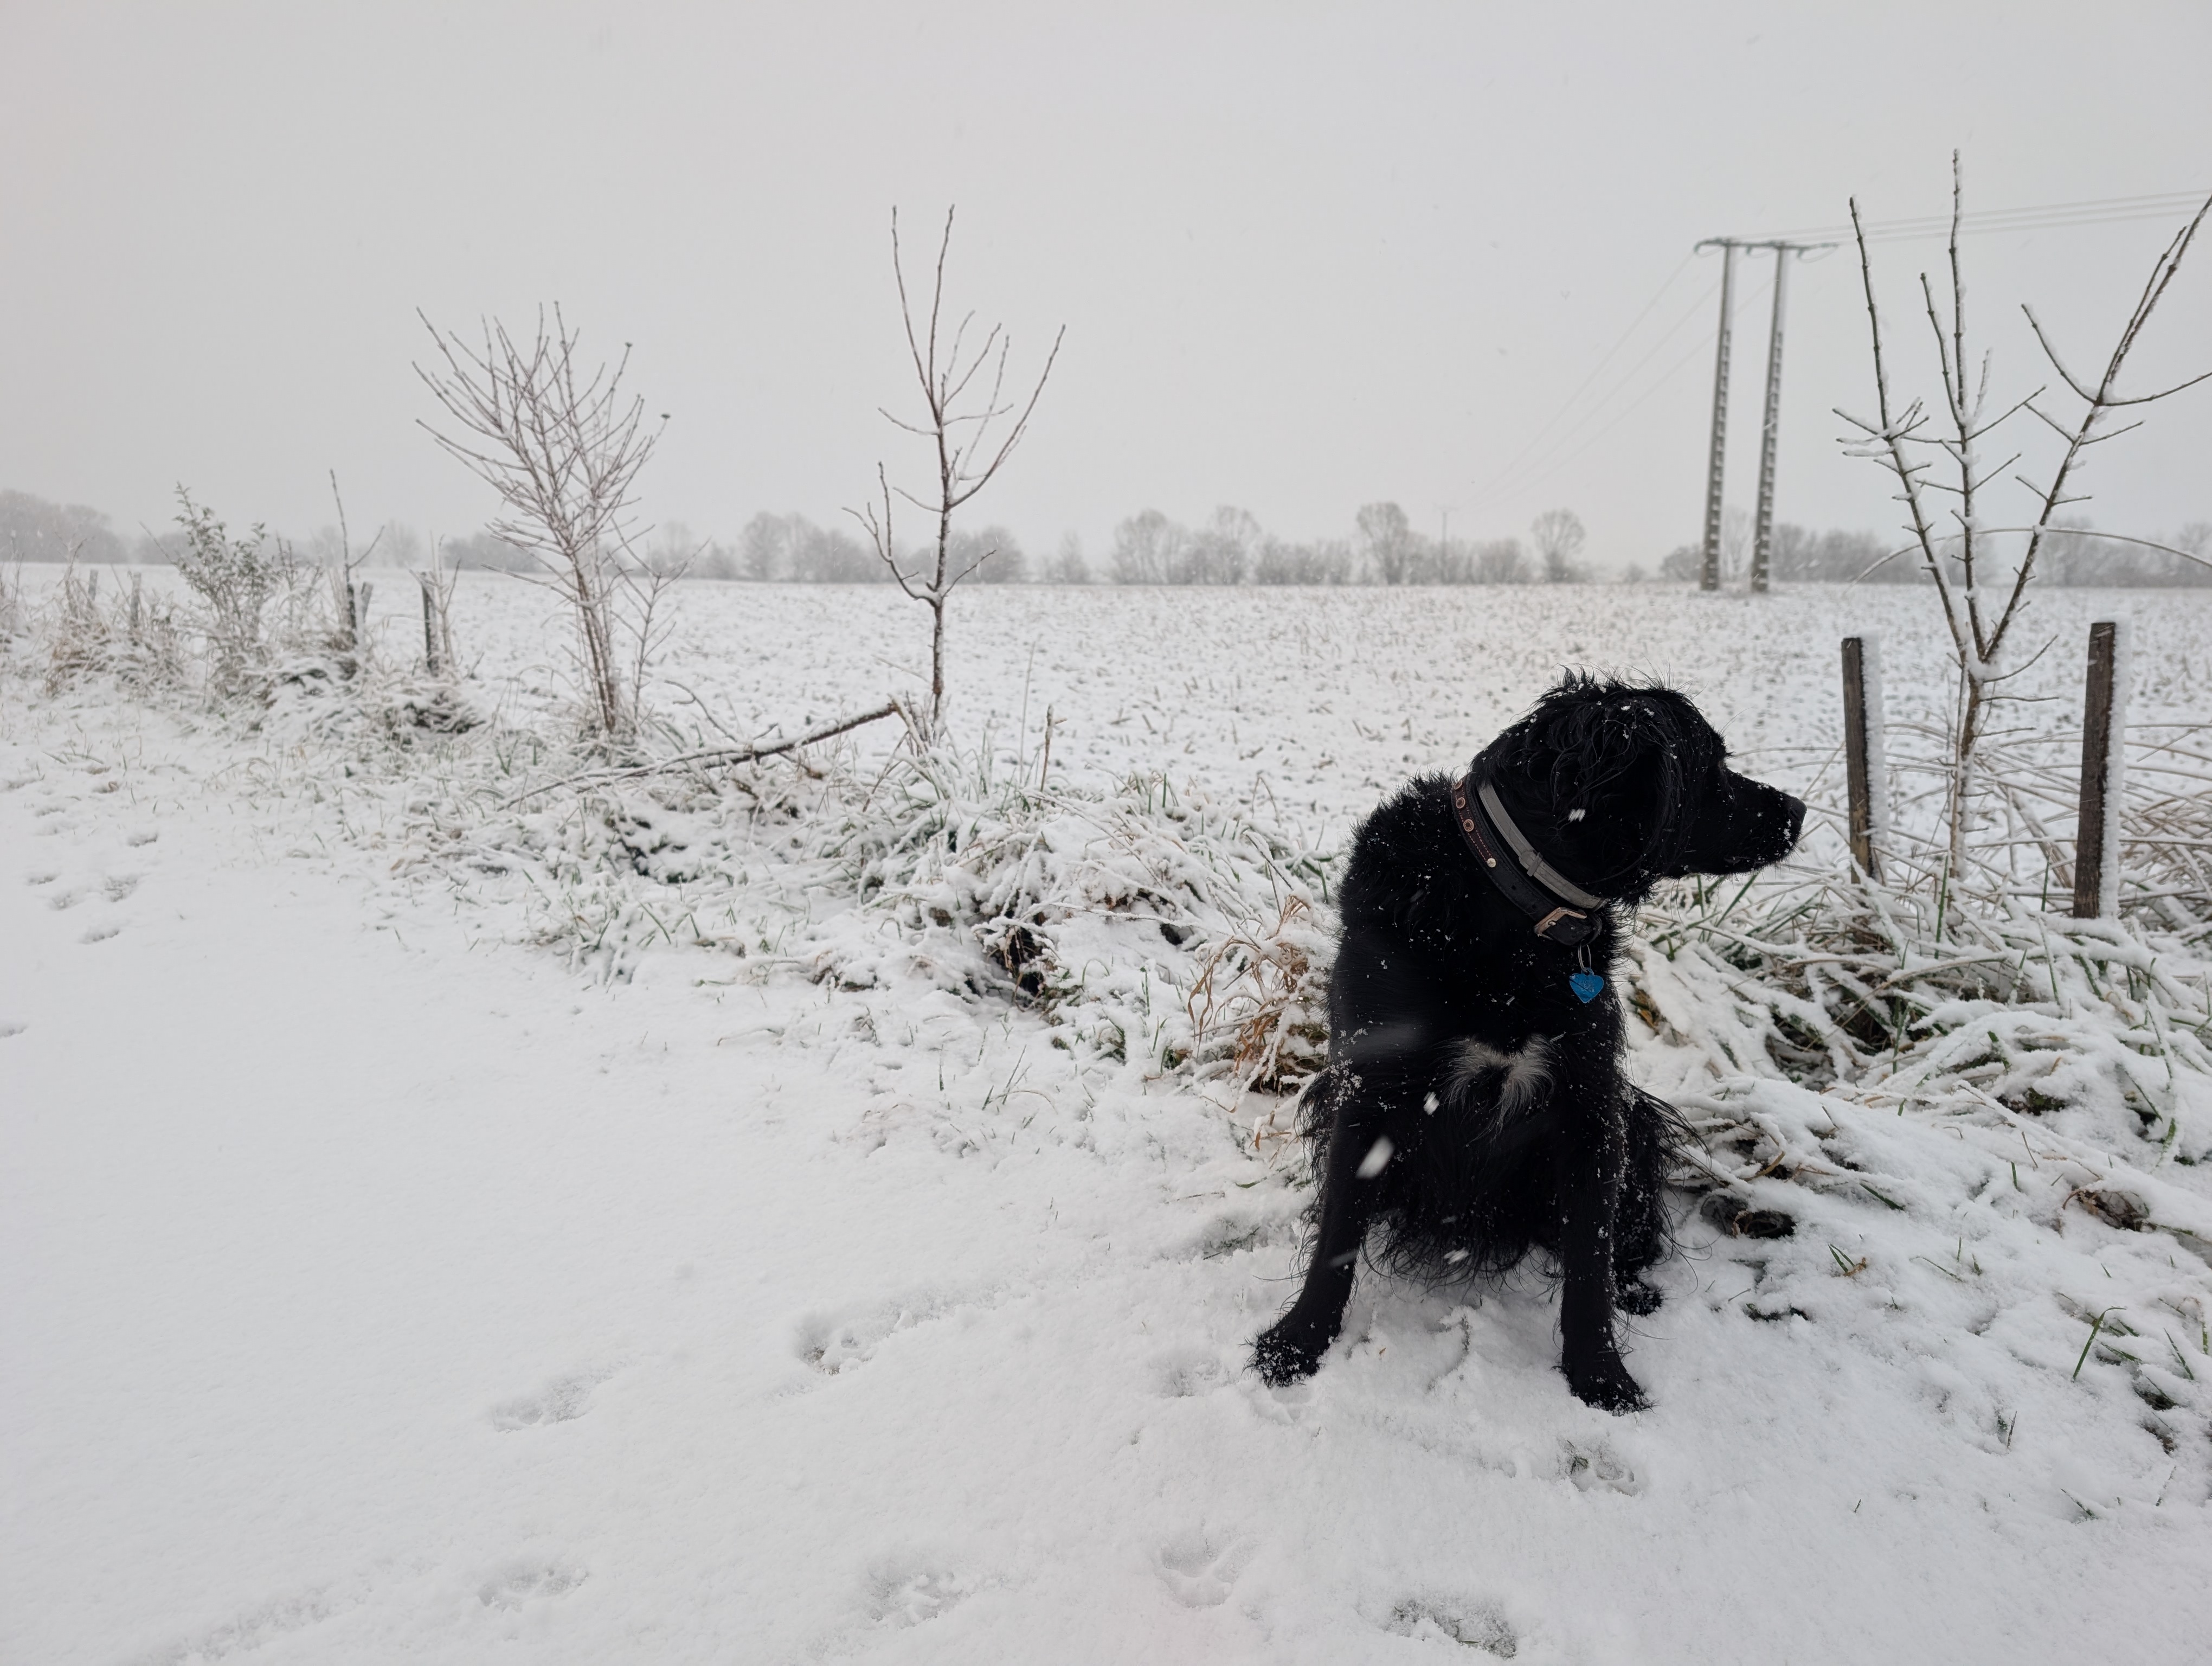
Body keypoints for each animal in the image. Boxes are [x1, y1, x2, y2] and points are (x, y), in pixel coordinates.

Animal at [1252, 674, 1804, 1412]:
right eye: (1708, 766)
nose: (1799, 810)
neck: (1511, 908)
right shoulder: (1369, 1093)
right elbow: (1337, 1232)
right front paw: (1298, 1343)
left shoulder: (1592, 1102)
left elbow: (1590, 1259)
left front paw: (1600, 1374)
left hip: (1638, 1117)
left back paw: (1635, 1287)